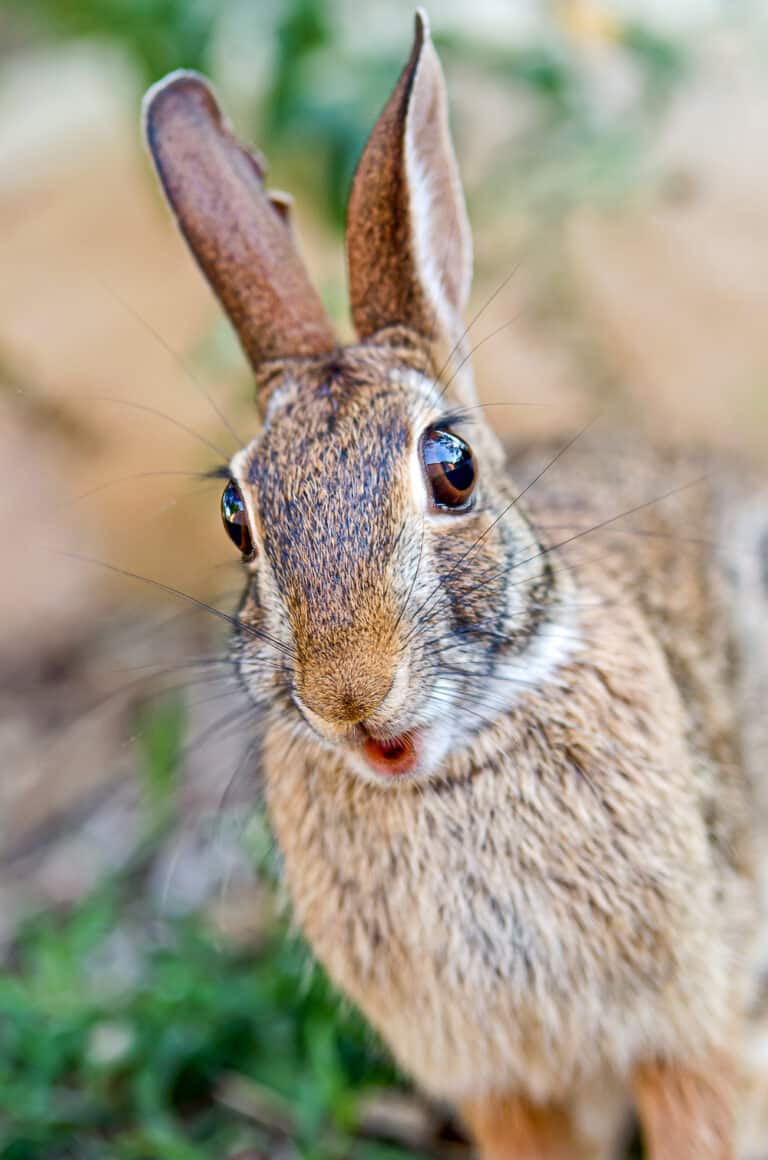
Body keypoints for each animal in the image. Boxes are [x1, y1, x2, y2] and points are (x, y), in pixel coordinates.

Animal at [142, 9, 768, 1158]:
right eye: (236, 514)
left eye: (454, 467)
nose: (352, 698)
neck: (449, 772)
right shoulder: (500, 1080)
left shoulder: (691, 1034)